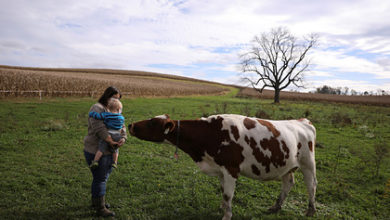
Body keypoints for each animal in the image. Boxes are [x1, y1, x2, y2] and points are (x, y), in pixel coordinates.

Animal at [128, 114, 316, 219]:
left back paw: (311, 211)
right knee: (288, 183)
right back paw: (275, 207)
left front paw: (227, 215)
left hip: (308, 163)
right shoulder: (219, 170)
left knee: (311, 185)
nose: (130, 125)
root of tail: (302, 121)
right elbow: (223, 192)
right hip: (287, 165)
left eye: (152, 123)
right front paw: (223, 208)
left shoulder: (231, 169)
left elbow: (228, 194)